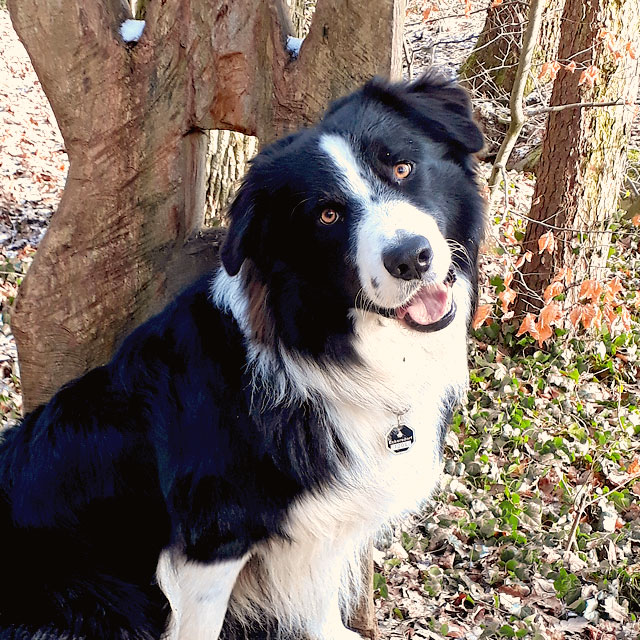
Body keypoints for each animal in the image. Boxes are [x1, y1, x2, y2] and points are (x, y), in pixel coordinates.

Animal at [0, 72, 480, 640]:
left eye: (402, 167)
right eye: (327, 214)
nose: (411, 258)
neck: (327, 349)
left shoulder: (326, 519)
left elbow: (320, 599)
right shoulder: (210, 543)